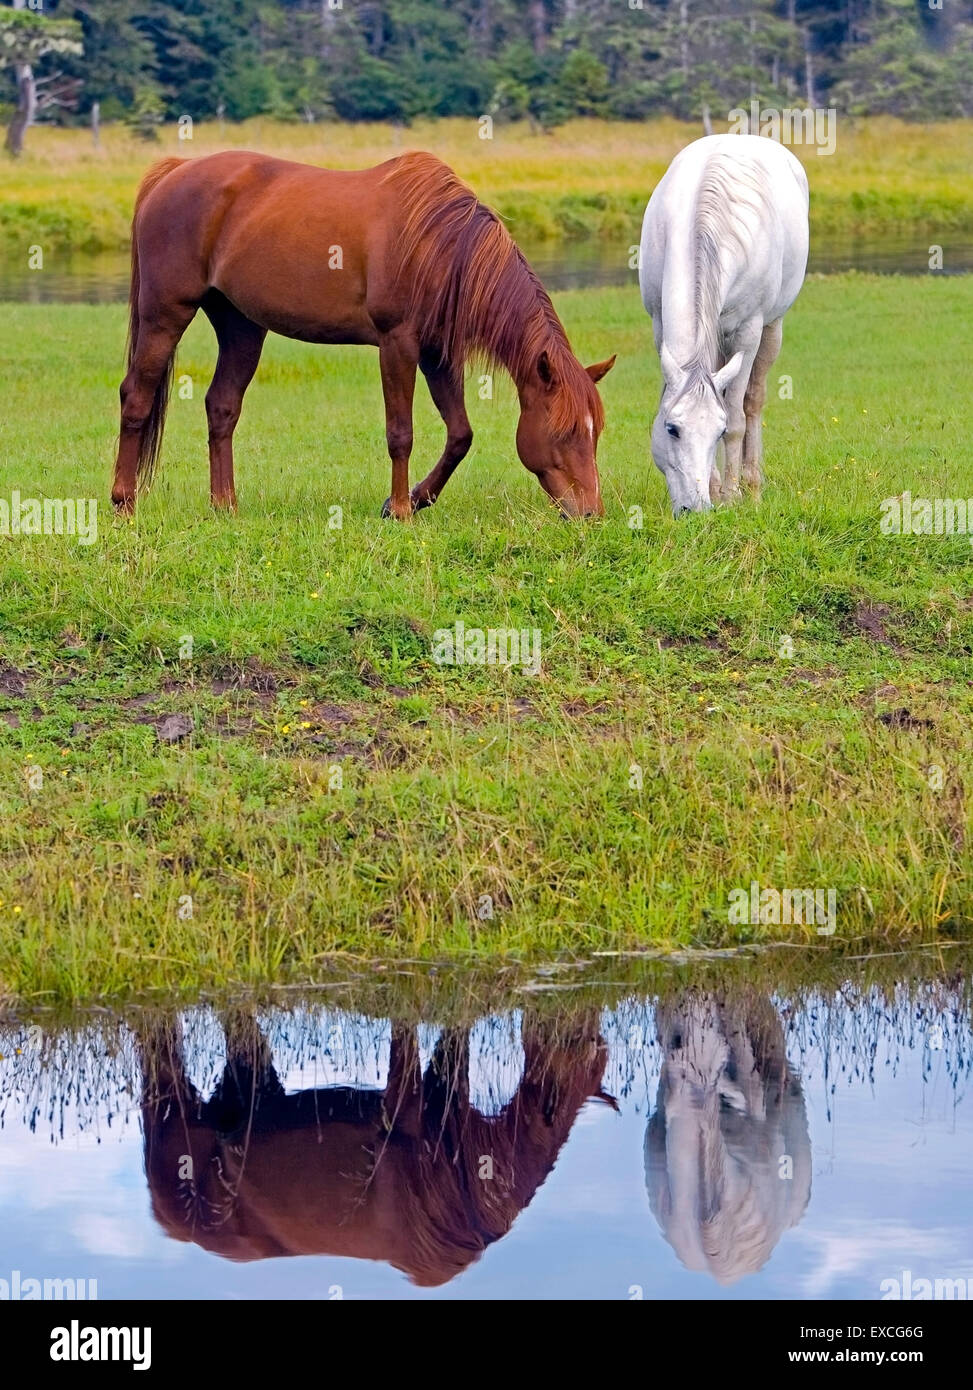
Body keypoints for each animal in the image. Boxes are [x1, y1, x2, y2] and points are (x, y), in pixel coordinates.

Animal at [111, 150, 615, 522]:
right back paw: (124, 502)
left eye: (596, 431)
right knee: (136, 396)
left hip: (241, 326)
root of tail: (174, 170)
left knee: (222, 406)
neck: (438, 243)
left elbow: (460, 434)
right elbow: (400, 433)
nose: (591, 513)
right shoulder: (397, 344)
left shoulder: (437, 352)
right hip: (166, 314)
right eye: (566, 430)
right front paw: (402, 510)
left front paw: (413, 500)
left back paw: (225, 505)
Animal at [136, 1009, 614, 1287]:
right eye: (579, 1041)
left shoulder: (445, 1093)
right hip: (174, 1110)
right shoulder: (409, 1109)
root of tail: (163, 1216)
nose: (589, 1019)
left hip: (244, 1096)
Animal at [638, 134, 809, 514]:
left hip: (771, 329)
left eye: (716, 433)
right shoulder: (659, 326)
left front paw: (730, 496)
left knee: (752, 401)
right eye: (672, 428)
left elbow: (736, 418)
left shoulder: (748, 332)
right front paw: (717, 490)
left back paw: (751, 486)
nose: (696, 509)